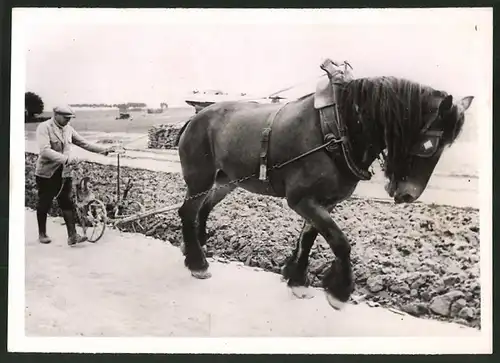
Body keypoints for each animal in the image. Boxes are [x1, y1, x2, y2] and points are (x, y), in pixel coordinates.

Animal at [175, 66, 472, 310]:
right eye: (428, 145)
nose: (409, 194)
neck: (338, 129)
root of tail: (195, 117)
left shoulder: (325, 201)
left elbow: (309, 237)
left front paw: (297, 278)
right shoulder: (301, 199)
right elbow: (339, 241)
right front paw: (339, 291)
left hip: (225, 181)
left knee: (203, 209)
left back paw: (196, 247)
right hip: (200, 179)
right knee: (188, 212)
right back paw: (198, 262)